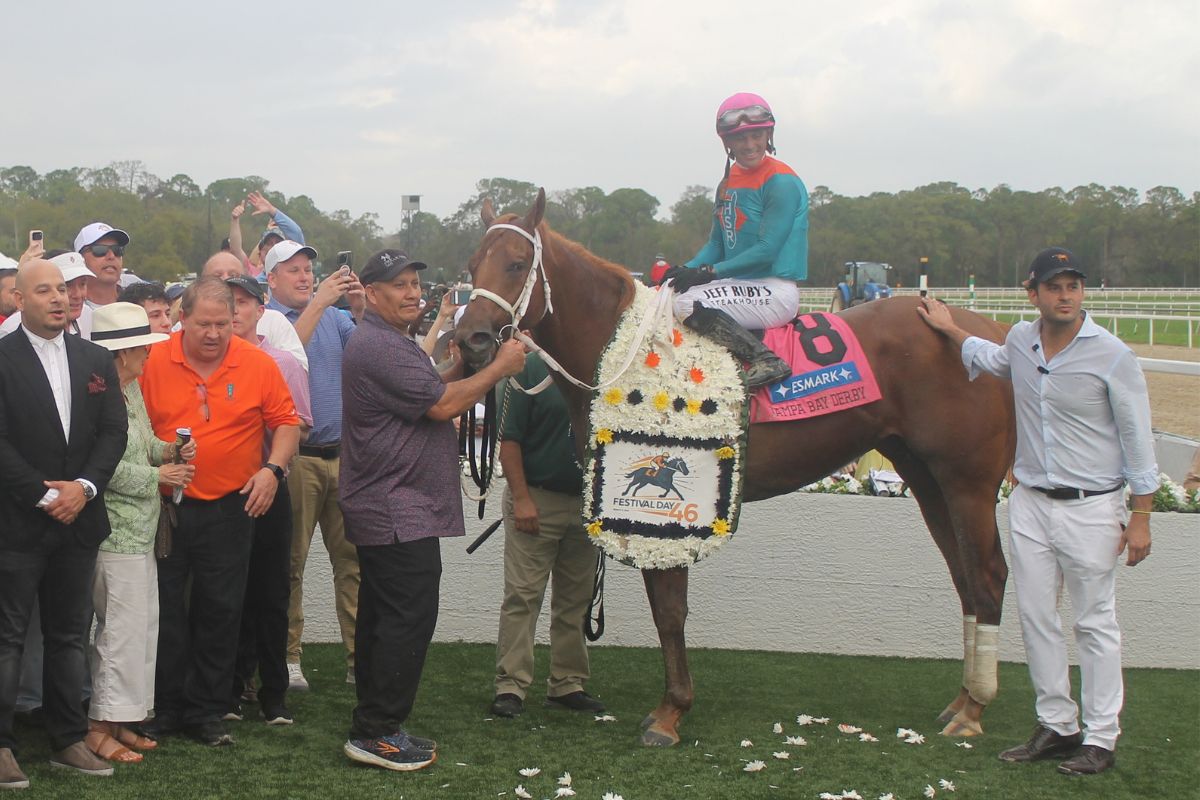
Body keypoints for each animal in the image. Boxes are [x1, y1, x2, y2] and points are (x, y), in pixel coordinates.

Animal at [455, 189, 1015, 747]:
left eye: (517, 263)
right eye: (472, 265)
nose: (470, 339)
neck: (621, 348)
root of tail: (991, 332)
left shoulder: (673, 511)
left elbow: (669, 610)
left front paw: (671, 712)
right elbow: (663, 606)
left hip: (967, 482)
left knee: (988, 576)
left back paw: (975, 707)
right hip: (925, 477)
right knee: (964, 577)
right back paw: (961, 700)